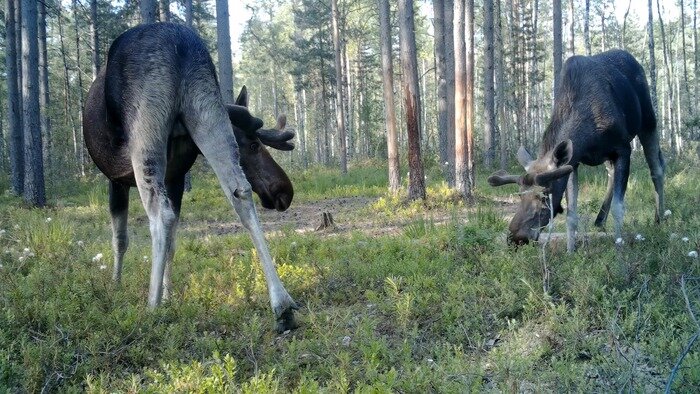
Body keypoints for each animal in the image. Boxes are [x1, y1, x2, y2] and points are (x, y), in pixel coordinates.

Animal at [484, 50, 664, 252]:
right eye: (520, 195)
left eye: (544, 196)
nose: (515, 238)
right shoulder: (573, 162)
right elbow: (571, 213)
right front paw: (571, 251)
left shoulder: (623, 149)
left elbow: (619, 207)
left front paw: (620, 249)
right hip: (609, 155)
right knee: (611, 174)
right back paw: (600, 220)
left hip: (648, 120)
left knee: (657, 168)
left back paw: (660, 219)